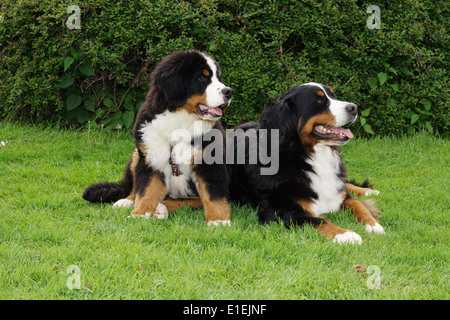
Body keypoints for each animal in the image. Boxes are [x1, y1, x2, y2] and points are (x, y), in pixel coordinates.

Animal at [82, 49, 234, 225]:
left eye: (219, 77)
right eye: (202, 78)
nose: (229, 92)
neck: (180, 121)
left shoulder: (210, 163)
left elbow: (213, 195)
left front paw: (218, 221)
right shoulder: (151, 160)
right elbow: (146, 191)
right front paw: (139, 214)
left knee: (188, 201)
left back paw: (161, 208)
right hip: (138, 154)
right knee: (134, 188)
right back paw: (127, 201)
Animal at [230, 83, 384, 245]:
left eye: (333, 95)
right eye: (318, 101)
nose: (354, 107)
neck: (308, 156)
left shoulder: (341, 195)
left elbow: (358, 204)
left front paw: (373, 225)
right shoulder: (279, 210)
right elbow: (318, 220)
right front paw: (346, 234)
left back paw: (369, 191)